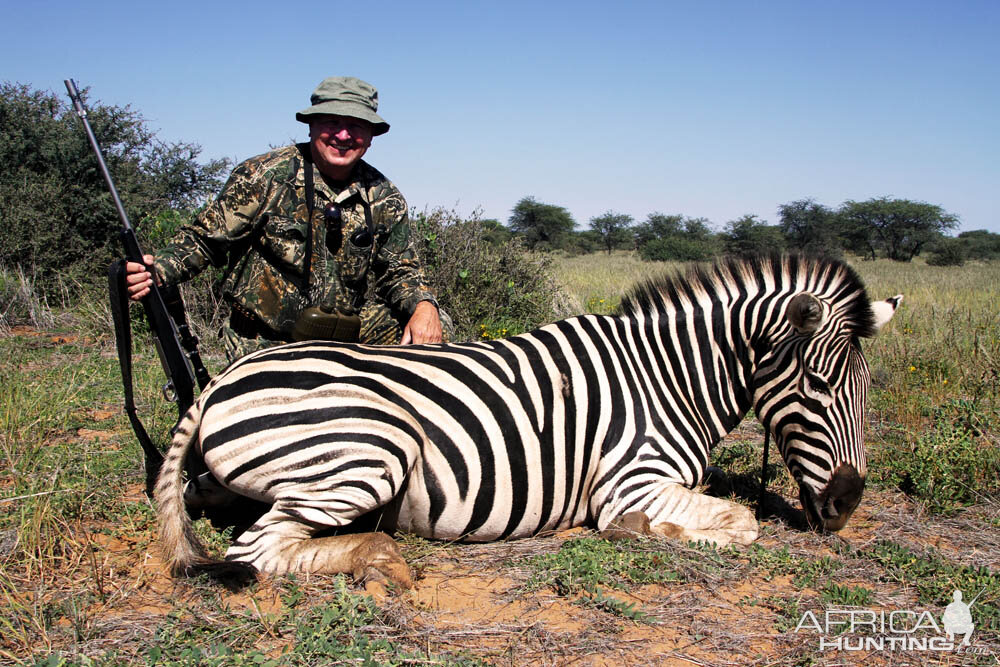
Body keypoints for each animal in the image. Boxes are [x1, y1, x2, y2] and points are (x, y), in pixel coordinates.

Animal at [154, 253, 900, 588]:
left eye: (868, 388)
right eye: (819, 384)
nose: (847, 504)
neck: (667, 376)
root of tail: (221, 378)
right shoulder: (629, 482)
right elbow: (740, 522)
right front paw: (645, 531)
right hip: (370, 449)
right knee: (254, 552)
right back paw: (380, 555)